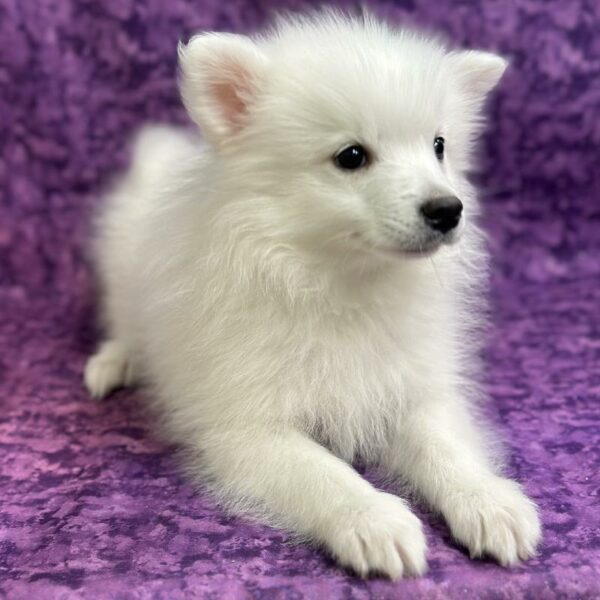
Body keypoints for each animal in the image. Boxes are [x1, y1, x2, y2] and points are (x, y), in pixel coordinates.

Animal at [85, 9, 544, 580]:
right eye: (351, 156)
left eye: (439, 146)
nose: (448, 209)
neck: (340, 283)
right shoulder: (247, 427)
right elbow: (321, 472)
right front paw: (374, 521)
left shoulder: (410, 386)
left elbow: (444, 446)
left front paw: (489, 502)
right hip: (120, 273)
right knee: (125, 327)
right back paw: (113, 364)